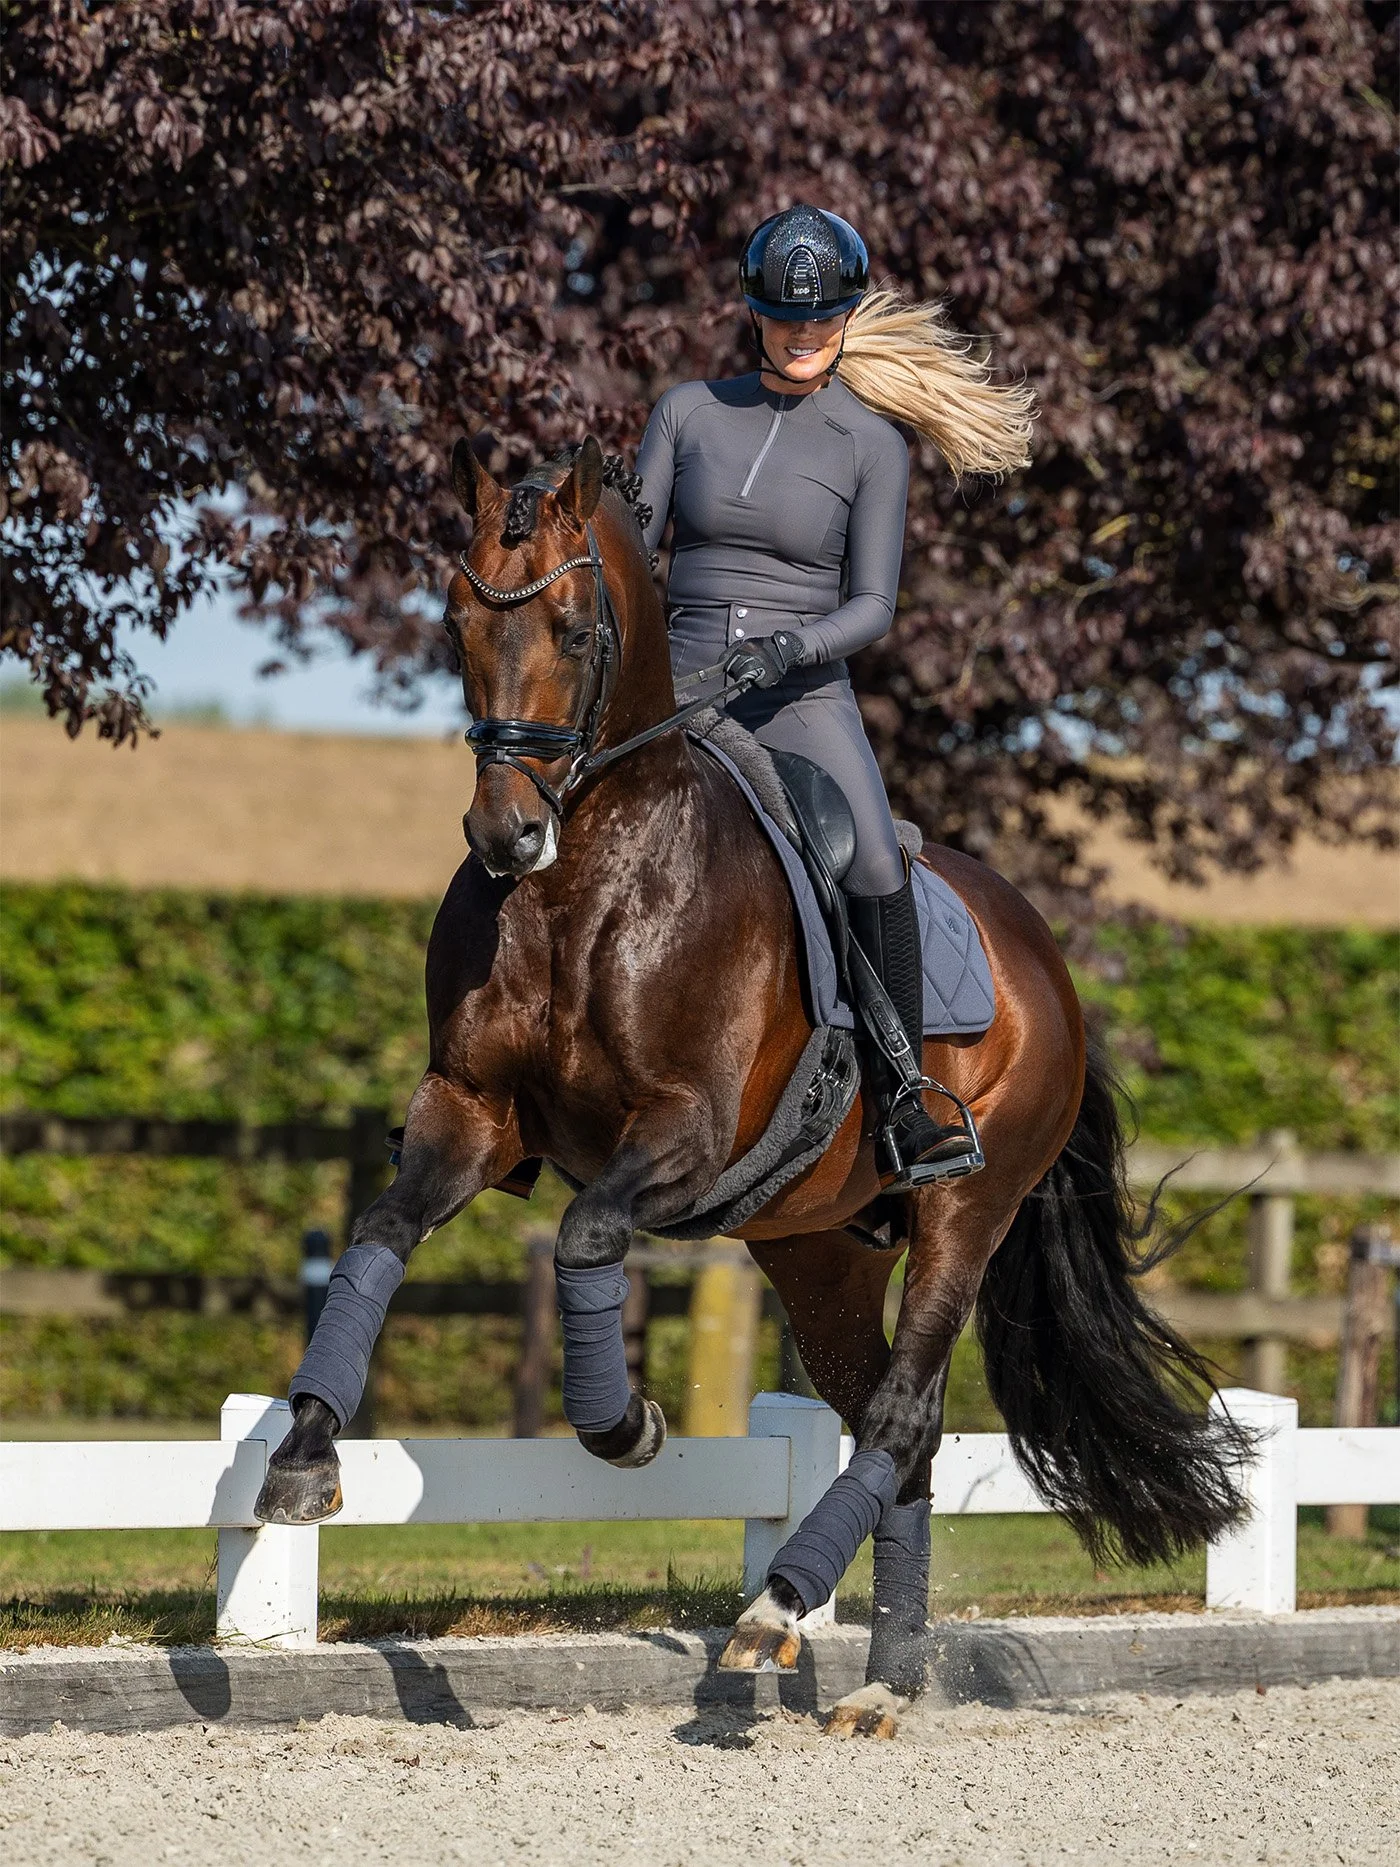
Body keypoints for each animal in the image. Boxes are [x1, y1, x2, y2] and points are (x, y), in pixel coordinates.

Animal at [256, 435, 1249, 1739]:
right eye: (457, 619)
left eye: (573, 627)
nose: (503, 834)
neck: (585, 879)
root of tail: (1041, 954)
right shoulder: (468, 1111)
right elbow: (376, 1233)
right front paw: (302, 1456)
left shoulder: (686, 1133)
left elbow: (584, 1236)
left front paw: (624, 1424)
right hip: (818, 1247)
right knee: (897, 1429)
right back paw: (881, 1675)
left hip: (962, 1210)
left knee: (899, 1411)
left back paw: (778, 1607)